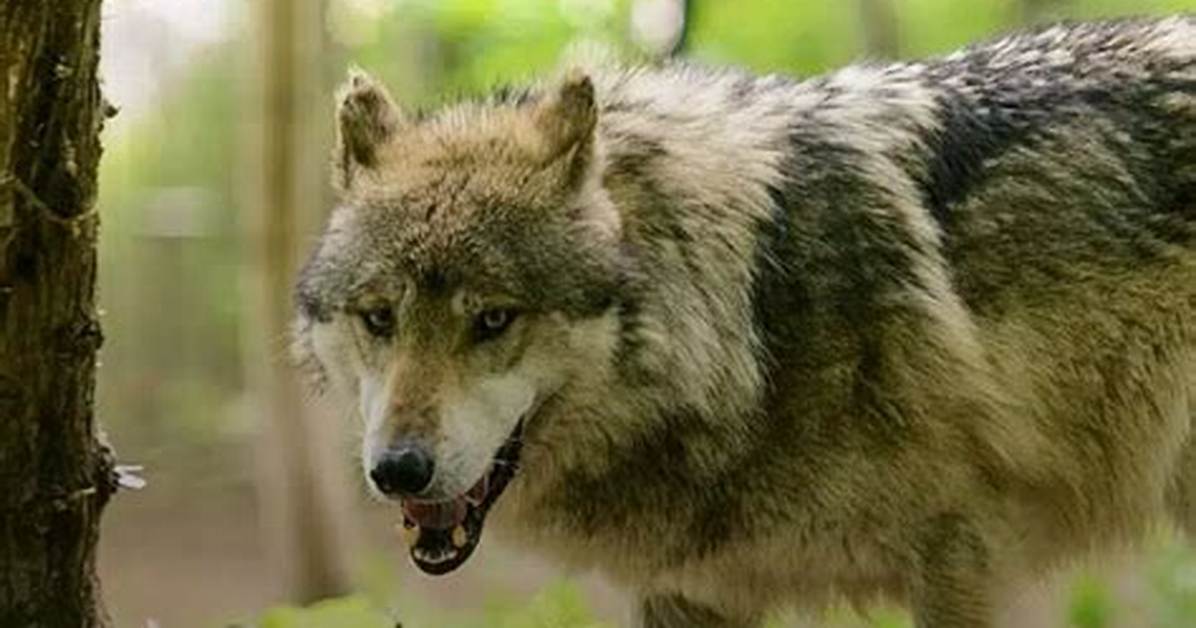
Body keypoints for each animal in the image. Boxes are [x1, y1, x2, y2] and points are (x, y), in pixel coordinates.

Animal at [292, 16, 1196, 627]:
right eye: (378, 317)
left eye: (492, 318)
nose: (398, 470)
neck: (746, 316)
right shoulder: (693, 588)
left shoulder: (958, 556)